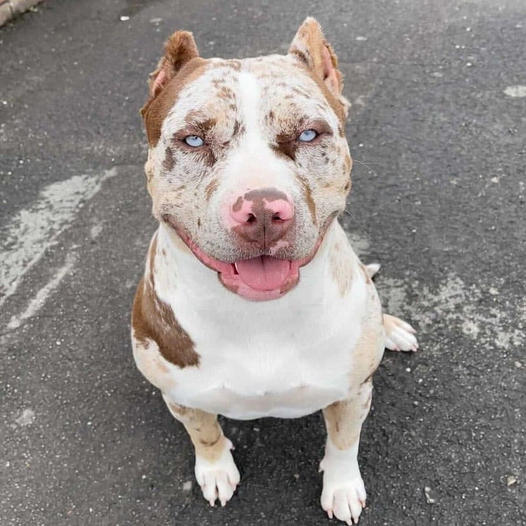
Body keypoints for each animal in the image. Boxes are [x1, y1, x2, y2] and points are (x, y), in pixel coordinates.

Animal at [133, 18, 420, 524]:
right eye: (193, 139)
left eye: (307, 135)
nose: (264, 211)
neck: (258, 316)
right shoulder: (181, 397)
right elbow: (204, 433)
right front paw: (215, 469)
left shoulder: (353, 392)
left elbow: (344, 441)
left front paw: (341, 486)